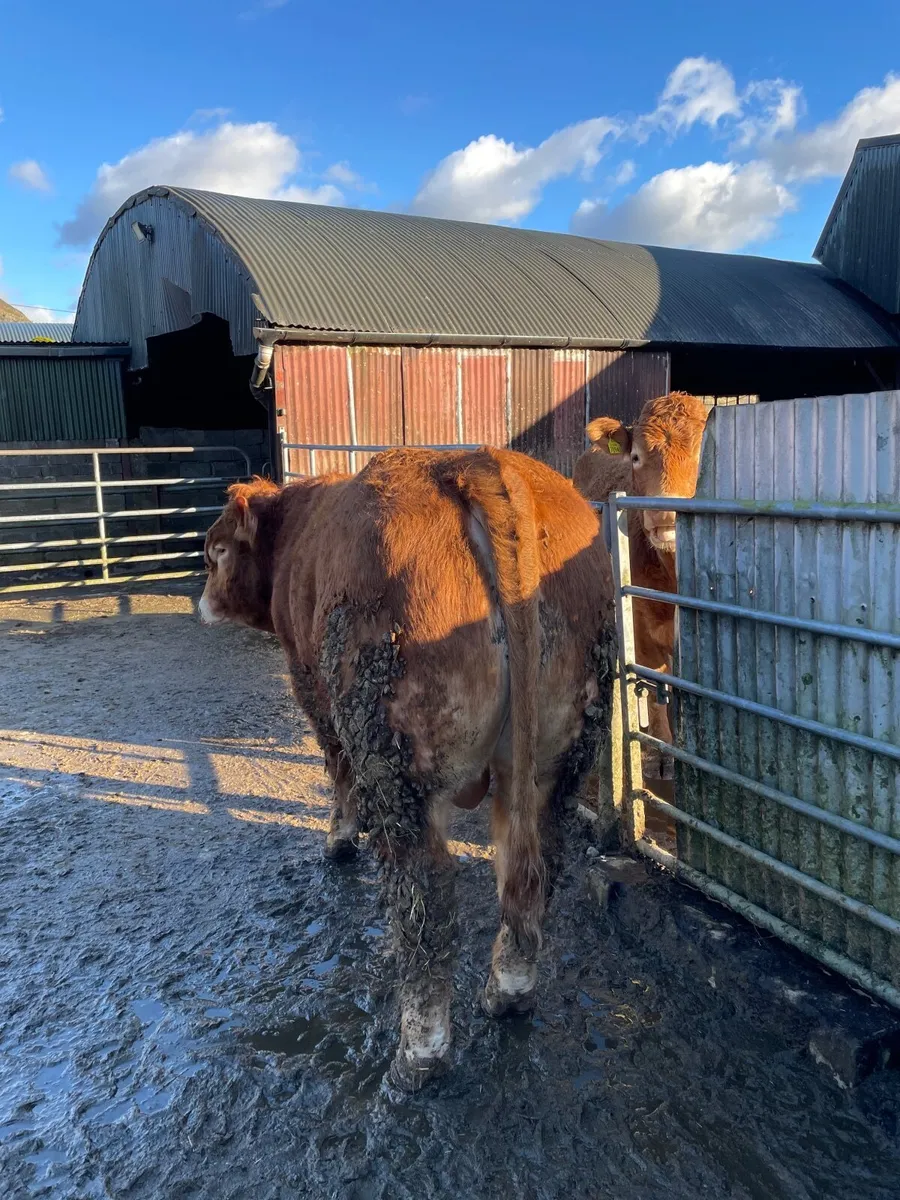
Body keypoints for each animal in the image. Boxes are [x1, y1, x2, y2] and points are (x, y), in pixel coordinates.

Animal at [199, 447, 617, 1091]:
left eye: (215, 550)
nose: (201, 599)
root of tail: (479, 465)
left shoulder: (311, 688)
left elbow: (337, 771)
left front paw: (340, 840)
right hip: (557, 756)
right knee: (532, 864)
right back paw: (508, 994)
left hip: (394, 749)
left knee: (427, 894)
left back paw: (417, 1056)